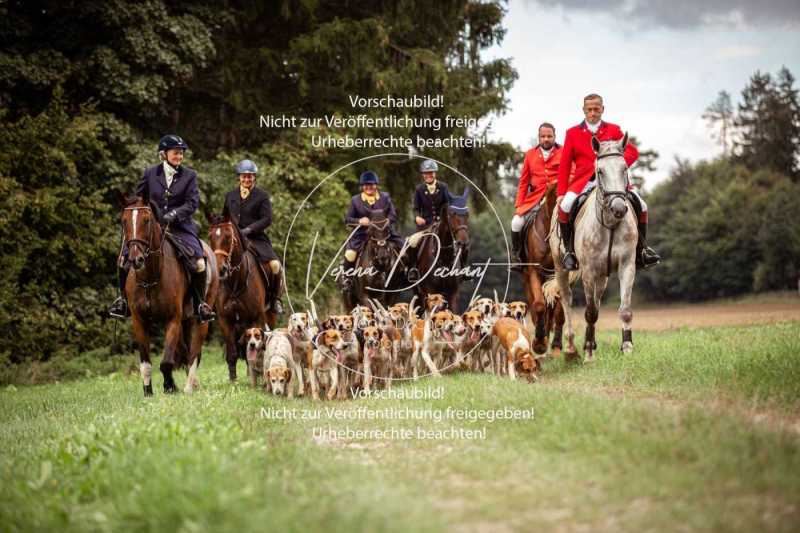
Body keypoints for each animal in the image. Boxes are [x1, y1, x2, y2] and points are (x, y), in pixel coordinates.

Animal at [119, 196, 219, 394]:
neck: (150, 277)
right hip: (184, 320)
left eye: (146, 220)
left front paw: (169, 387)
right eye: (124, 221)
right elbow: (146, 364)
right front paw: (148, 392)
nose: (135, 259)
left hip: (199, 318)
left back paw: (189, 387)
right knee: (186, 352)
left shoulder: (172, 319)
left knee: (194, 353)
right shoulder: (139, 320)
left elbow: (166, 362)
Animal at [208, 213, 276, 382]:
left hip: (270, 315)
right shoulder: (225, 320)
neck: (236, 283)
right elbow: (233, 352)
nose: (220, 269)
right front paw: (233, 380)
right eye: (210, 236)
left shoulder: (256, 318)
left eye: (228, 237)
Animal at [552, 133, 636, 362]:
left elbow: (625, 309)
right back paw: (571, 347)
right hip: (561, 267)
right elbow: (589, 312)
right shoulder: (588, 271)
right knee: (567, 299)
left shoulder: (627, 266)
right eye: (600, 171)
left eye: (624, 168)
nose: (619, 208)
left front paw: (627, 348)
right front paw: (588, 352)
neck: (610, 224)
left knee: (597, 301)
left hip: (602, 276)